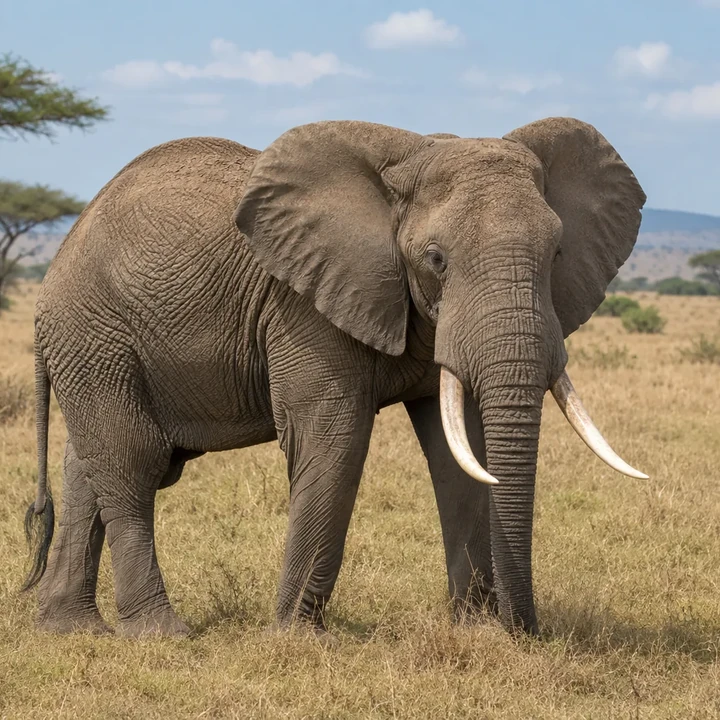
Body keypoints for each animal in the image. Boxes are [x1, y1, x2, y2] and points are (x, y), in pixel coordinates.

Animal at [22, 117, 648, 638]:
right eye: (436, 259)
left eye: (557, 253)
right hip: (94, 332)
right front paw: (296, 637)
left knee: (87, 465)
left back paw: (71, 629)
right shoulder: (304, 307)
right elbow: (334, 439)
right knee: (133, 461)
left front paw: (474, 632)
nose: (525, 631)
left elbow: (463, 451)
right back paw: (161, 634)